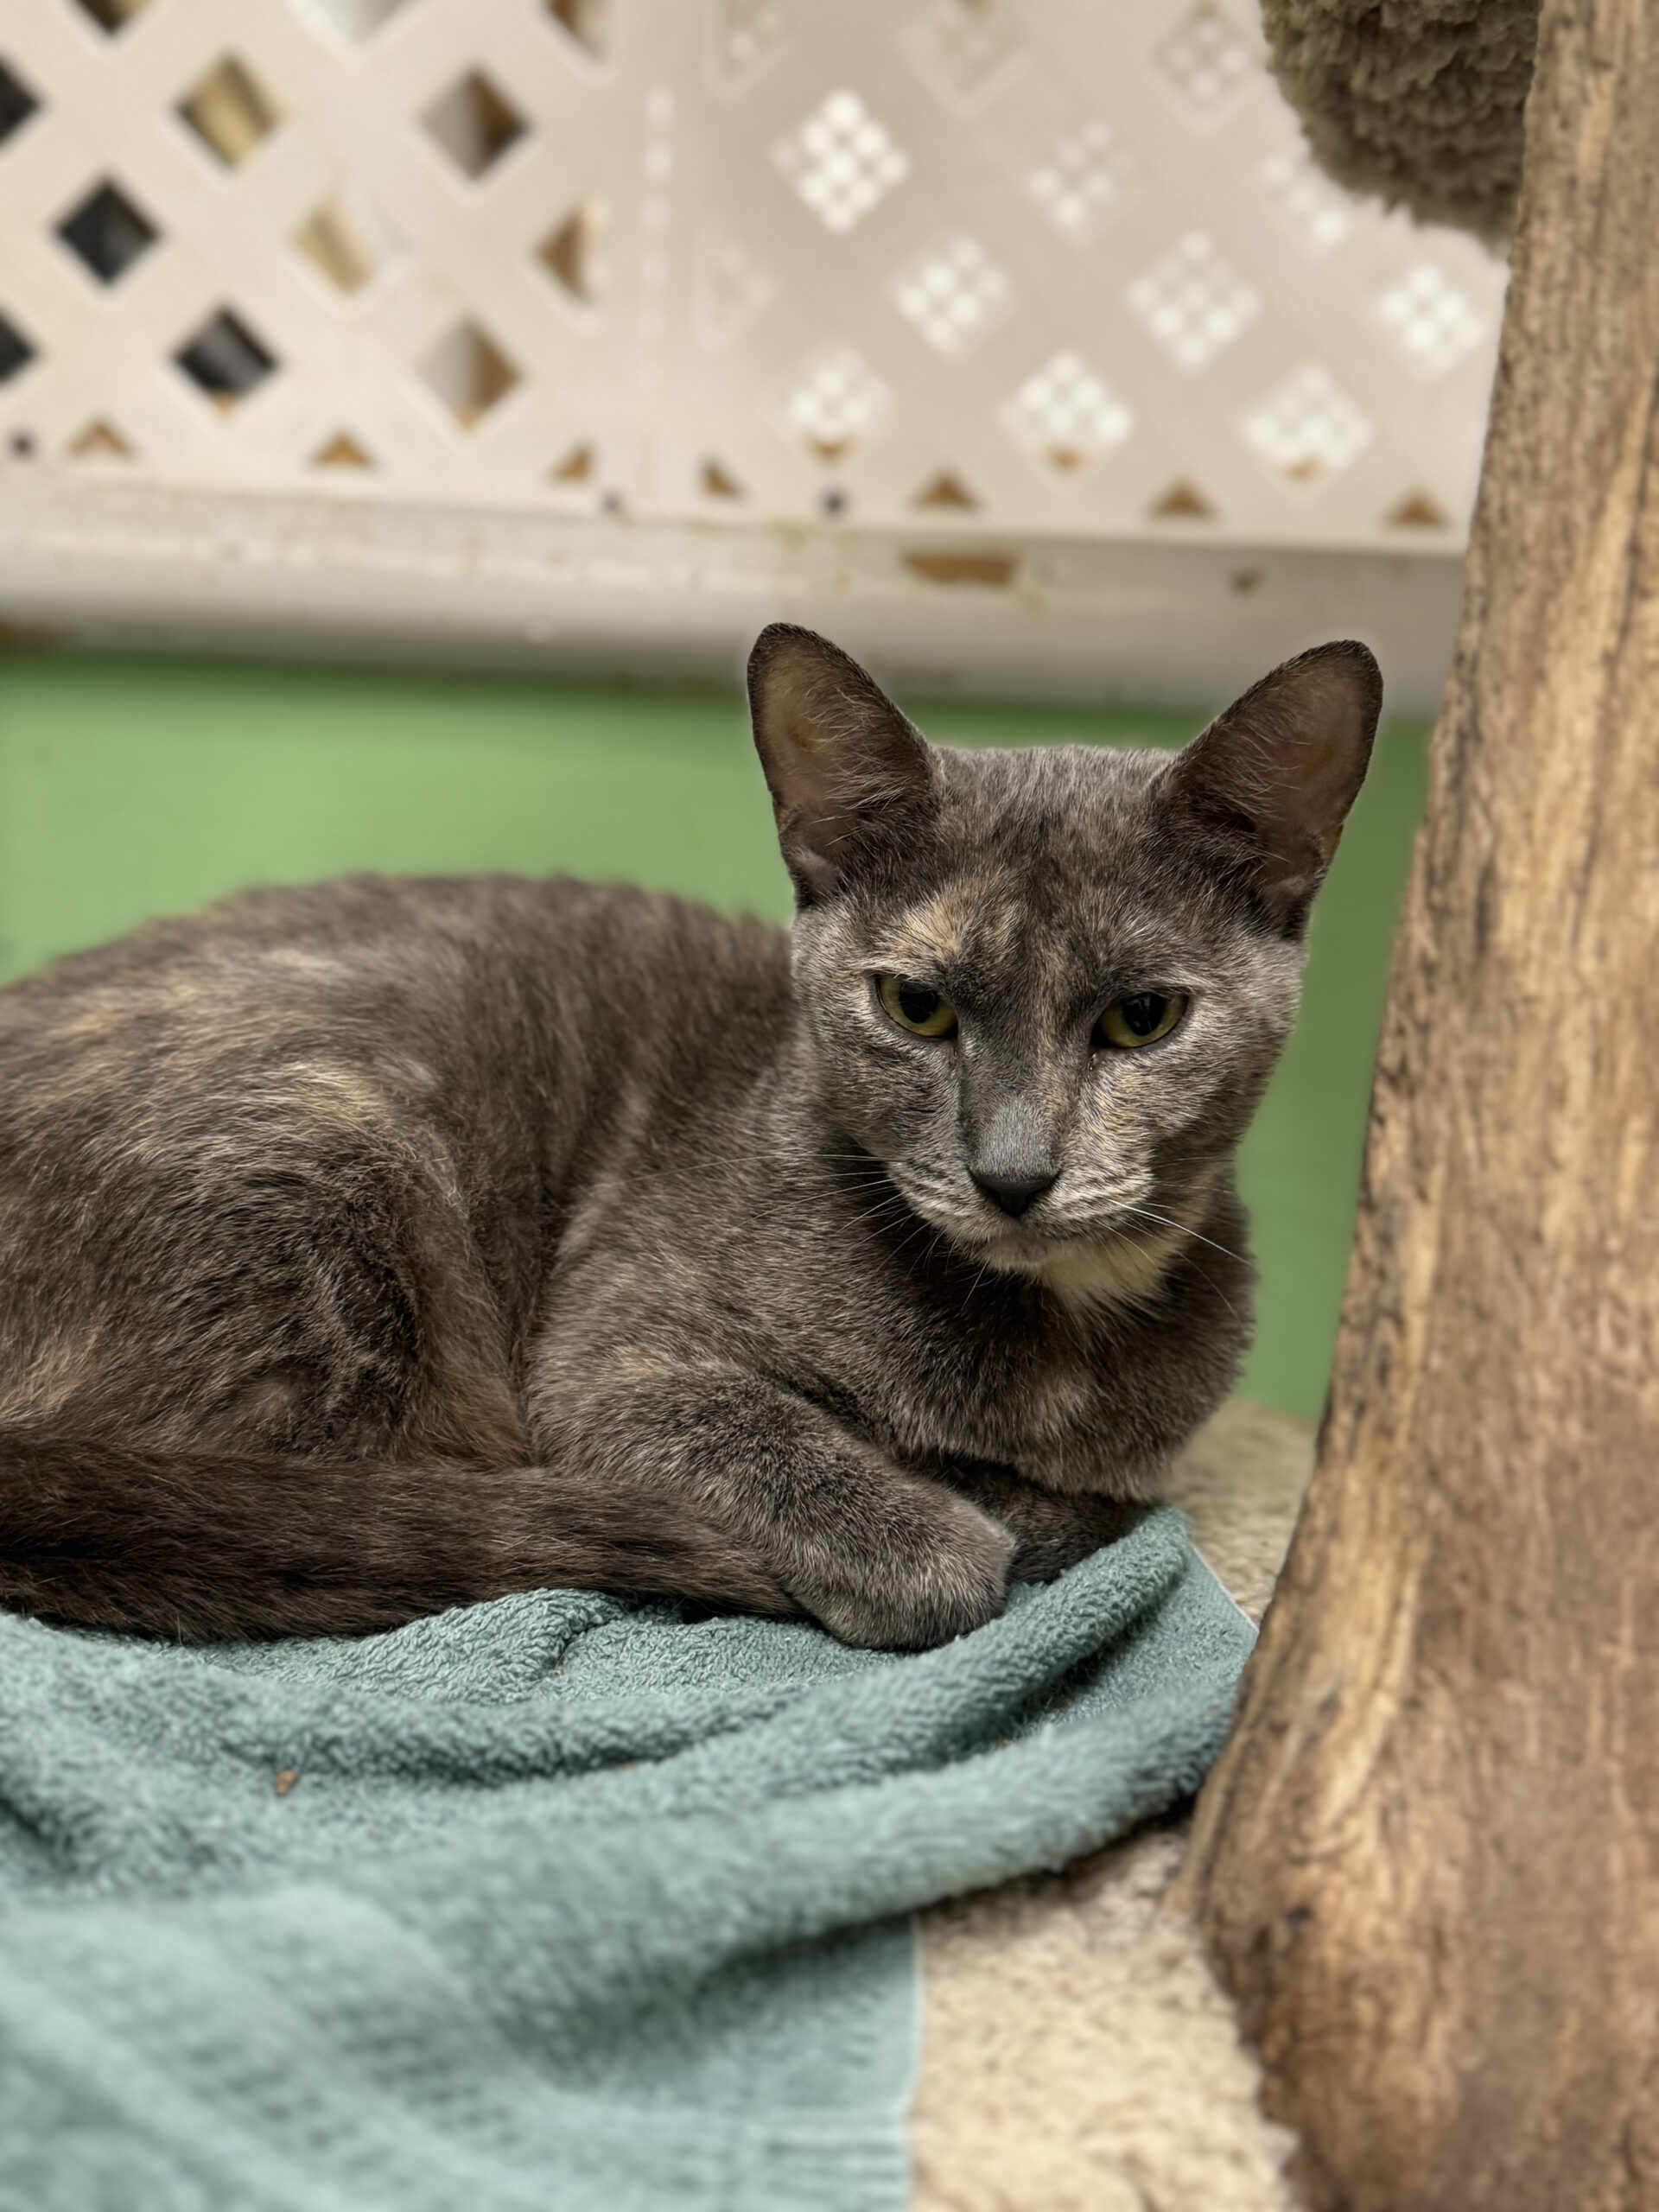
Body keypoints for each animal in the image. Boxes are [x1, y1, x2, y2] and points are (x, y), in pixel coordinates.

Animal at [0, 624, 1379, 1649]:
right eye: (916, 1006)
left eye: (1143, 1018)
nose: (1014, 1171)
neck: (1057, 1334)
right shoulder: (614, 1352)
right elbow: (794, 1452)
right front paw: (938, 1531)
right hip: (344, 1142)